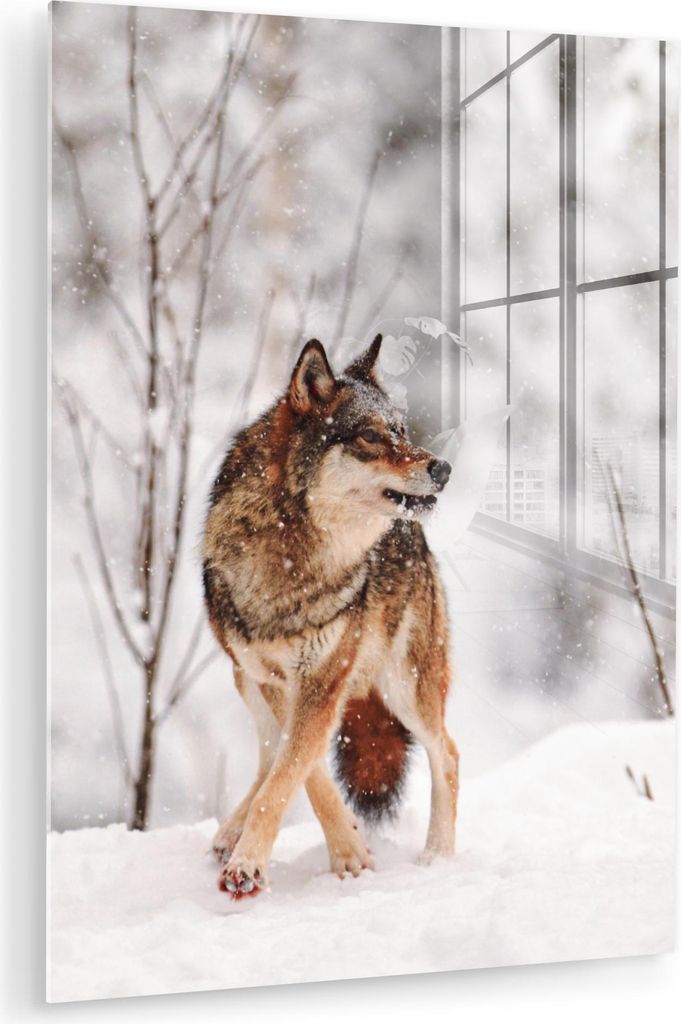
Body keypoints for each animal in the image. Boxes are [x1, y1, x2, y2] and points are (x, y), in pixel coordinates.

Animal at [203, 334, 459, 898]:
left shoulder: (322, 680)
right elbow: (301, 770)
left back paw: (437, 857)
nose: (444, 469)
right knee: (267, 754)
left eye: (401, 430)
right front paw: (348, 850)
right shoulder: (278, 681)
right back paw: (228, 833)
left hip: (406, 687)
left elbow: (291, 772)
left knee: (447, 754)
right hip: (244, 680)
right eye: (369, 435)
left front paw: (252, 865)